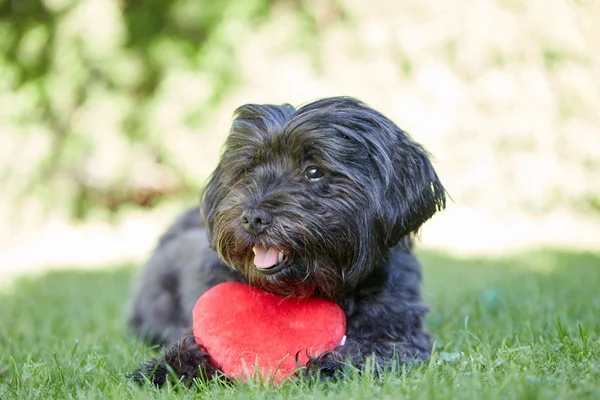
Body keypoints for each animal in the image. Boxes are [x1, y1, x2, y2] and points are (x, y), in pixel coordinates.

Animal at [127, 95, 446, 386]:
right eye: (249, 168)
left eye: (314, 171)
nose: (252, 218)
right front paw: (171, 366)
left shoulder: (401, 329)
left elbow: (376, 349)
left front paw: (328, 365)